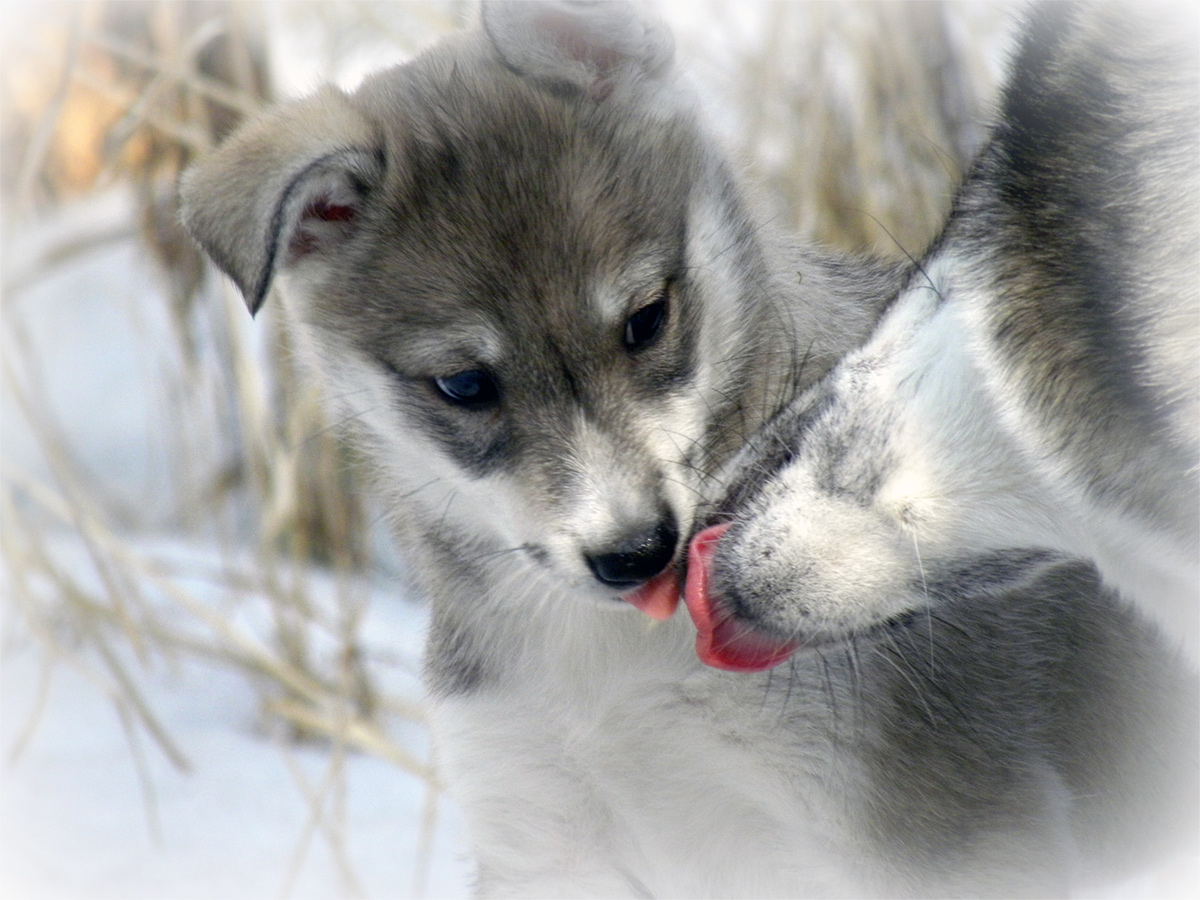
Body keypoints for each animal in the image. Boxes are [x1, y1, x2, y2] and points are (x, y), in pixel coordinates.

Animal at [182, 1, 1195, 900]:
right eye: (463, 386)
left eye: (646, 319)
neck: (615, 673)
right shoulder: (539, 834)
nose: (638, 554)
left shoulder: (938, 842)